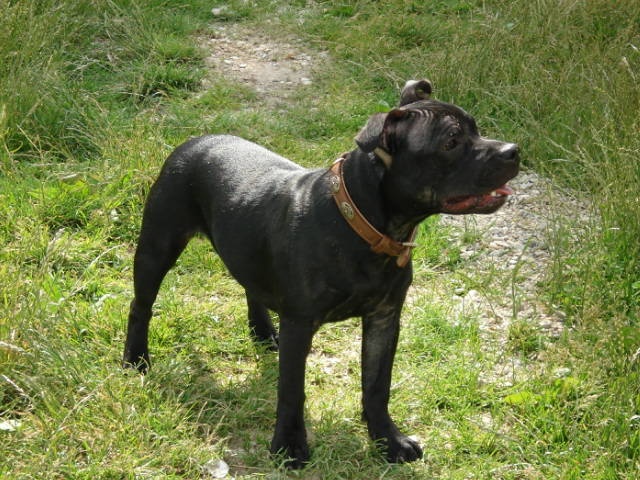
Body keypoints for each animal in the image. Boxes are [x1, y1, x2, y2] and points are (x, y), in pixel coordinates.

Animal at [122, 79, 519, 468]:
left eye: (476, 128)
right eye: (451, 142)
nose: (513, 150)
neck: (366, 223)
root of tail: (194, 141)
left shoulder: (385, 318)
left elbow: (377, 386)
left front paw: (388, 441)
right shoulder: (300, 324)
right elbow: (292, 391)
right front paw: (289, 446)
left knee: (251, 284)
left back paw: (263, 332)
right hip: (157, 246)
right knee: (141, 306)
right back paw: (135, 360)